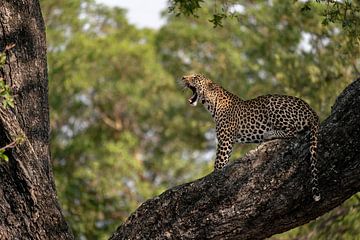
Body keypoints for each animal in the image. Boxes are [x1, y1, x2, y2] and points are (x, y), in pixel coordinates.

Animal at [180, 72, 320, 201]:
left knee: (293, 131)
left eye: (195, 77)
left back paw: (269, 134)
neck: (210, 102)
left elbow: (219, 165)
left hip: (274, 104)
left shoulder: (225, 140)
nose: (182, 77)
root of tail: (311, 110)